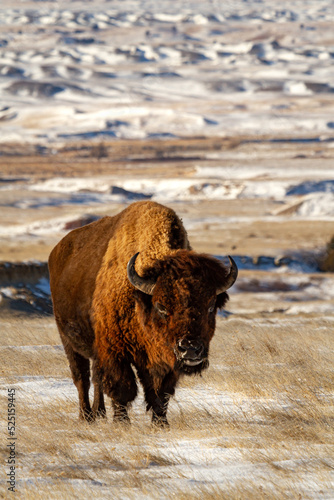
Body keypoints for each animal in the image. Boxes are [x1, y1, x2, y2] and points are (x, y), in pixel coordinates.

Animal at [49, 199, 237, 426]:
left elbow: (160, 392)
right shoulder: (115, 351)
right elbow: (123, 387)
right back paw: (87, 417)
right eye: (161, 307)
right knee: (82, 378)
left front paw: (161, 423)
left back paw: (99, 413)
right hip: (68, 340)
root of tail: (57, 251)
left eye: (210, 307)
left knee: (96, 378)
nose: (191, 349)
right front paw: (122, 422)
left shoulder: (162, 362)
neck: (139, 299)